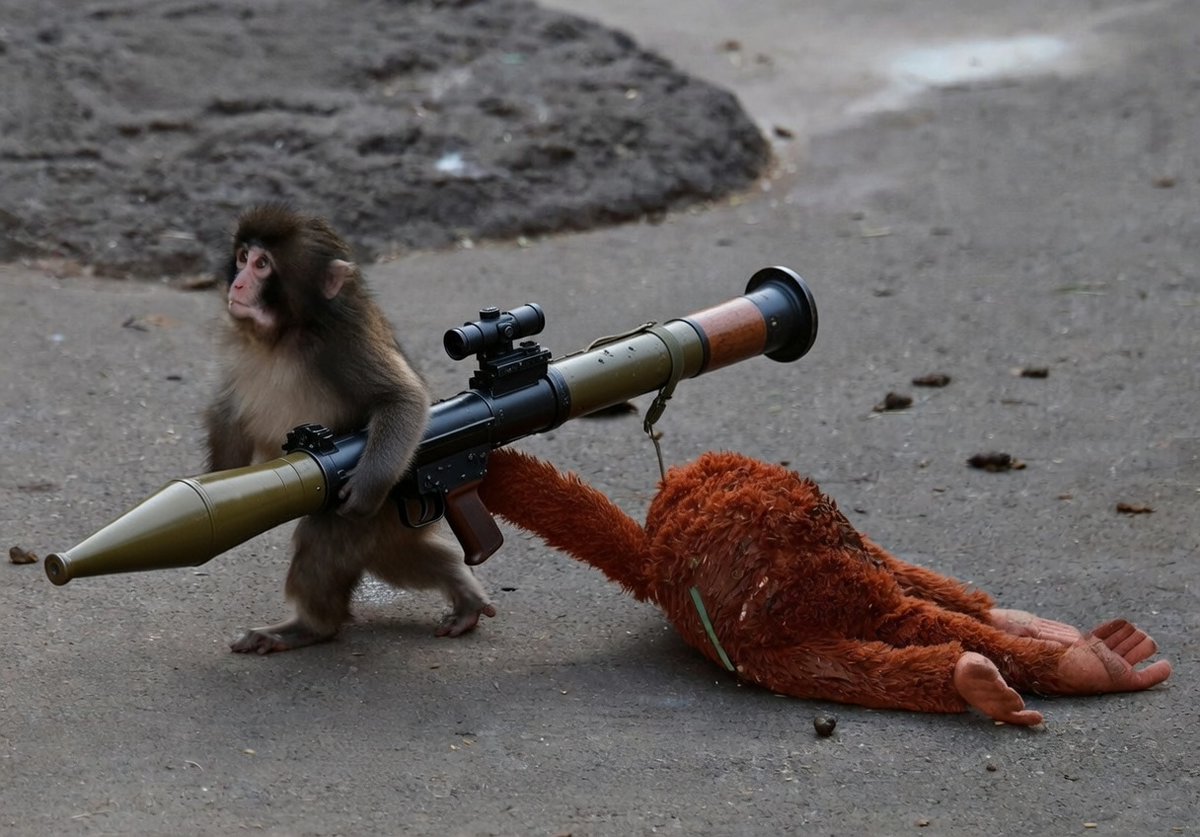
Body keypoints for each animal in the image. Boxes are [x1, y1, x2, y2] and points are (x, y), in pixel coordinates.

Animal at [207, 205, 496, 654]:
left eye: (262, 264)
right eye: (241, 257)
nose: (237, 283)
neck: (283, 334)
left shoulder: (344, 343)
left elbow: (402, 399)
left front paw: (363, 486)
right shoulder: (233, 337)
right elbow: (228, 413)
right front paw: (218, 479)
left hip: (385, 502)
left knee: (327, 541)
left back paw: (310, 626)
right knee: (393, 556)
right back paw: (462, 589)